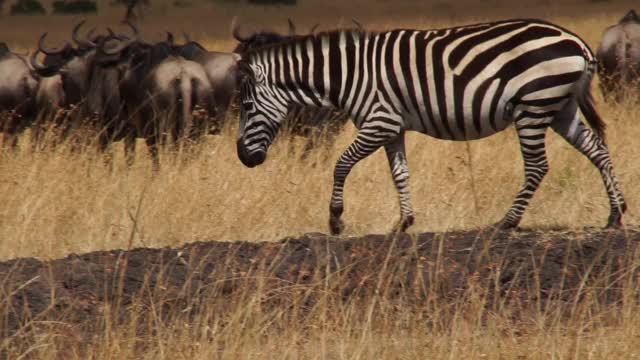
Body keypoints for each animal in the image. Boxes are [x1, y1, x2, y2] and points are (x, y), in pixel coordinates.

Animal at [234, 19, 624, 235]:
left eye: (247, 107)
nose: (243, 158)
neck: (348, 75)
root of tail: (577, 42)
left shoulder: (379, 122)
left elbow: (341, 164)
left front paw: (335, 220)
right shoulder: (392, 128)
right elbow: (400, 174)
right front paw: (404, 223)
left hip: (534, 106)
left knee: (538, 166)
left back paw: (507, 223)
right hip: (560, 108)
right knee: (598, 150)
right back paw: (616, 214)